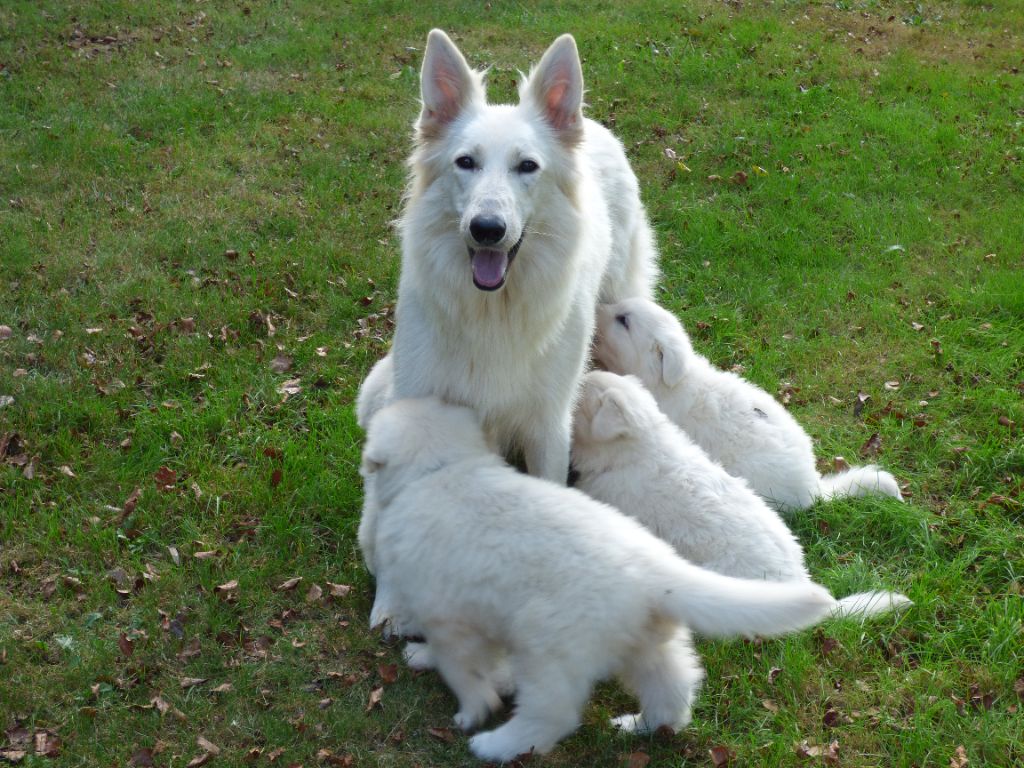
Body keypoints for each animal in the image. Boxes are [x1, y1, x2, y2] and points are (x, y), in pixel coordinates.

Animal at [358, 397, 831, 765]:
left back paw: (497, 745)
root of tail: (654, 571)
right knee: (674, 687)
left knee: (553, 713)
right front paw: (426, 658)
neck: (440, 469)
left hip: (550, 648)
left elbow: (464, 666)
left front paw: (469, 707)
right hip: (647, 642)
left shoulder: (448, 613)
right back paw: (641, 726)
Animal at [382, 31, 655, 487]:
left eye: (527, 166)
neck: (493, 313)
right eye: (466, 162)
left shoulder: (547, 426)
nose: (486, 229)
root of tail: (591, 124)